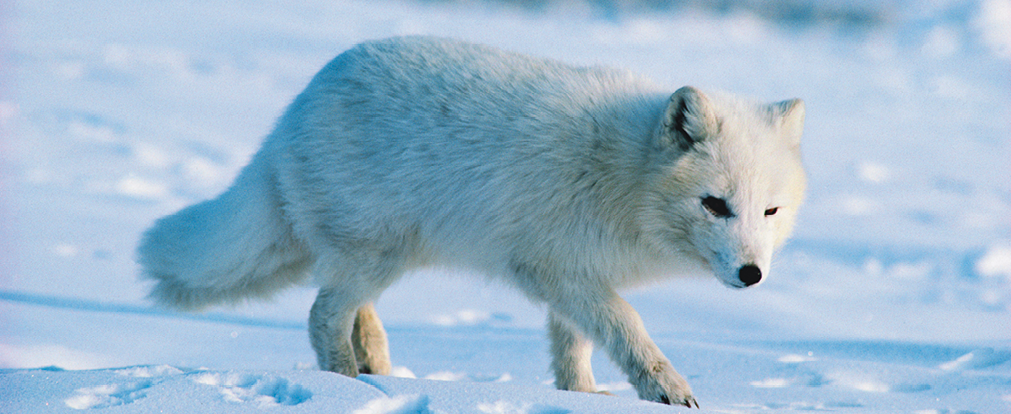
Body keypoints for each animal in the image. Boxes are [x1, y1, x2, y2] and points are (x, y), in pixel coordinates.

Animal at [140, 36, 804, 406]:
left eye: (769, 211)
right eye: (714, 204)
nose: (752, 275)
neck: (625, 173)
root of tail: (291, 114)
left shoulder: (574, 275)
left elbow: (574, 346)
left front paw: (583, 397)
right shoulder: (557, 270)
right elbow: (627, 327)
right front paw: (667, 390)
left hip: (378, 257)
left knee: (350, 310)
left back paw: (376, 370)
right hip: (376, 252)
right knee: (322, 314)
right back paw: (349, 388)